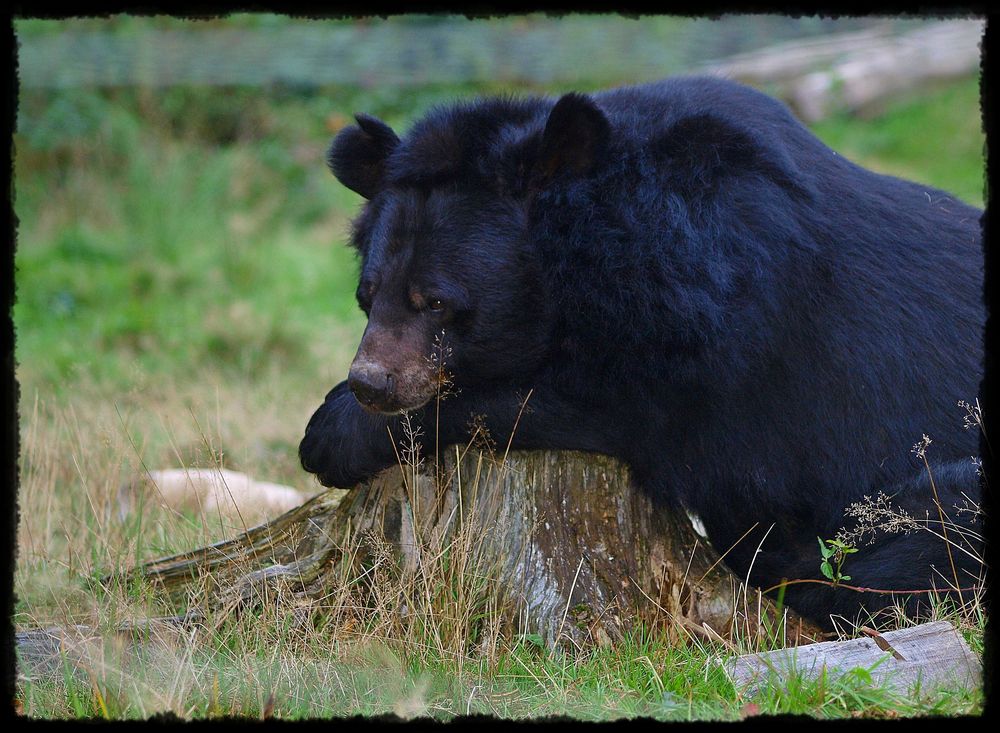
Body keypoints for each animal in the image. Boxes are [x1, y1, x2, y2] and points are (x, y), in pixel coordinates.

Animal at [298, 77, 984, 628]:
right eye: (367, 295)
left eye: (436, 302)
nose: (372, 383)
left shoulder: (718, 338)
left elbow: (586, 404)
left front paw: (329, 434)